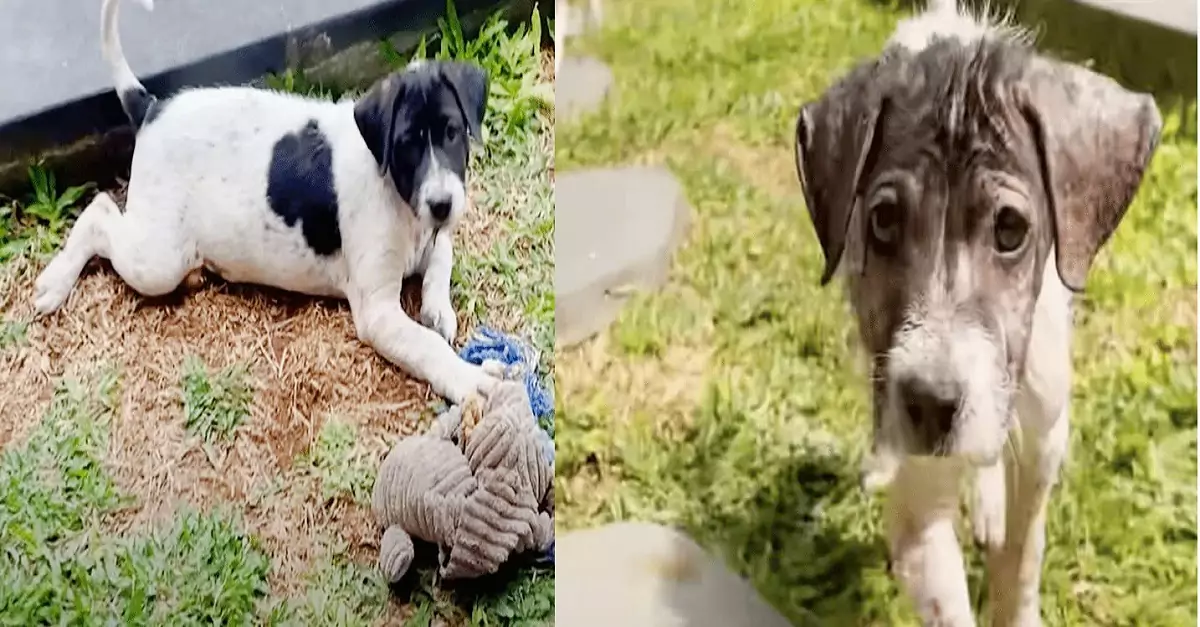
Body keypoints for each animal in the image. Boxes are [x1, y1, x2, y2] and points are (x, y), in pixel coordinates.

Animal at [32, 0, 499, 403]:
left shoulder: (432, 236)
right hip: (157, 260)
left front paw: (438, 309)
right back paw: (54, 282)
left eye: (452, 133)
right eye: (406, 146)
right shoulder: (378, 311)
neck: (399, 199)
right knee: (98, 213)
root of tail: (149, 108)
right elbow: (427, 347)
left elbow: (441, 258)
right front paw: (469, 380)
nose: (442, 205)